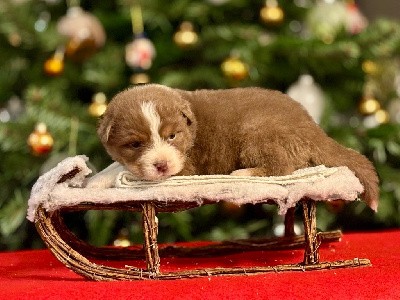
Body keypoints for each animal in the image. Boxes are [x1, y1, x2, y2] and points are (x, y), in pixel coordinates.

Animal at [98, 84, 380, 211]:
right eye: (135, 144)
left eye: (172, 136)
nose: (161, 165)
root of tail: (314, 127)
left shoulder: (187, 165)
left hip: (258, 133)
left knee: (281, 166)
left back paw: (245, 173)